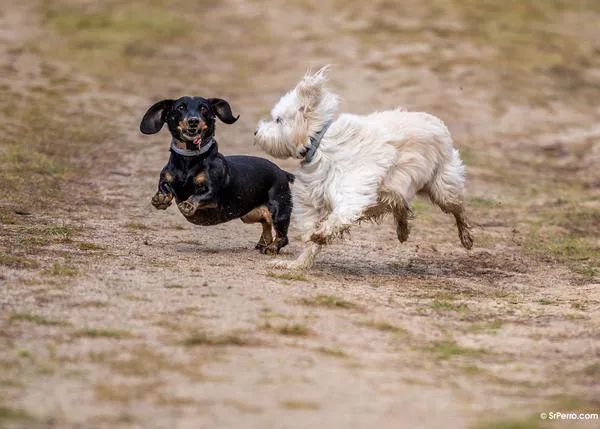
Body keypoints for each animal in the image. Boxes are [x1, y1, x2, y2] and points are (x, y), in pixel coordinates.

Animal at [254, 65, 474, 270]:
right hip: (393, 189)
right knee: (400, 205)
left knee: (458, 209)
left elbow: (337, 216)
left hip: (443, 188)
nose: (256, 132)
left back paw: (466, 237)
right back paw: (402, 230)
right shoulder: (313, 197)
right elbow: (310, 234)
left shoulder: (351, 190)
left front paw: (322, 233)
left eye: (278, 120)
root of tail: (437, 122)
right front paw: (299, 263)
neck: (319, 143)